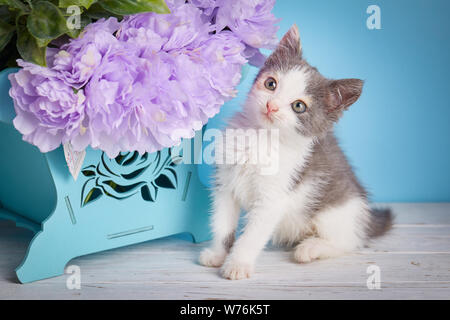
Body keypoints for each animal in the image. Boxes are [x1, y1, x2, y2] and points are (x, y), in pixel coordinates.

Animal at [199, 25, 392, 280]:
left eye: (299, 106)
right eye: (271, 84)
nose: (271, 106)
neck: (260, 137)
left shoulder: (273, 198)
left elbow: (252, 235)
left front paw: (238, 263)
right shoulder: (225, 184)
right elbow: (222, 223)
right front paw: (217, 254)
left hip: (335, 213)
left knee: (349, 241)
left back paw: (311, 248)